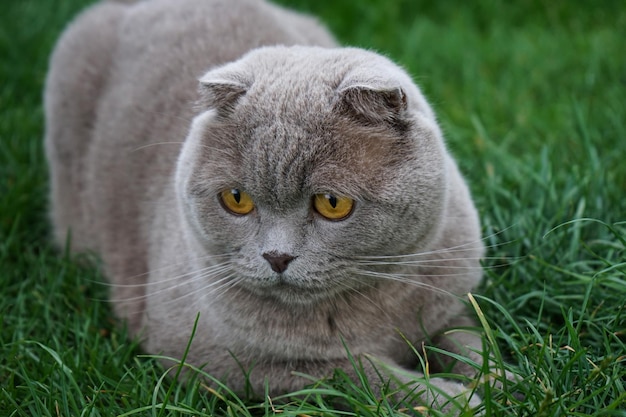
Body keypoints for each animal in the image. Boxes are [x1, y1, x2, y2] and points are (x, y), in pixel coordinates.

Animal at [46, 0, 486, 412]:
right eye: (236, 199)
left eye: (333, 203)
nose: (277, 256)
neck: (375, 309)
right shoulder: (211, 356)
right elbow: (353, 371)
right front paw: (451, 400)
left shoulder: (451, 298)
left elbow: (470, 339)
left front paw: (494, 380)